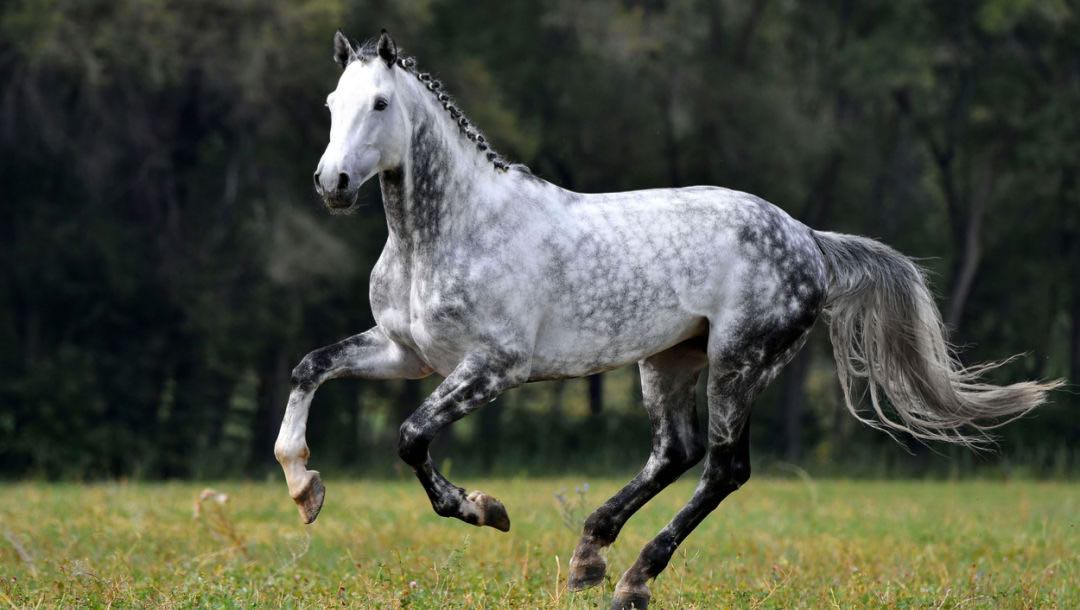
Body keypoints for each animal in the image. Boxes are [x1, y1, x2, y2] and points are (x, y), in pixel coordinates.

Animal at [273, 30, 1062, 609]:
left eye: (380, 103)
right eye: (332, 101)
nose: (331, 184)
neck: (447, 233)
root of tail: (808, 238)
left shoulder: (492, 367)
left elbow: (410, 438)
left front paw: (485, 509)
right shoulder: (406, 353)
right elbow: (310, 368)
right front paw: (304, 490)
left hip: (739, 361)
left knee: (723, 468)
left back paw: (632, 578)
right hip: (669, 359)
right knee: (674, 452)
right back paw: (591, 554)